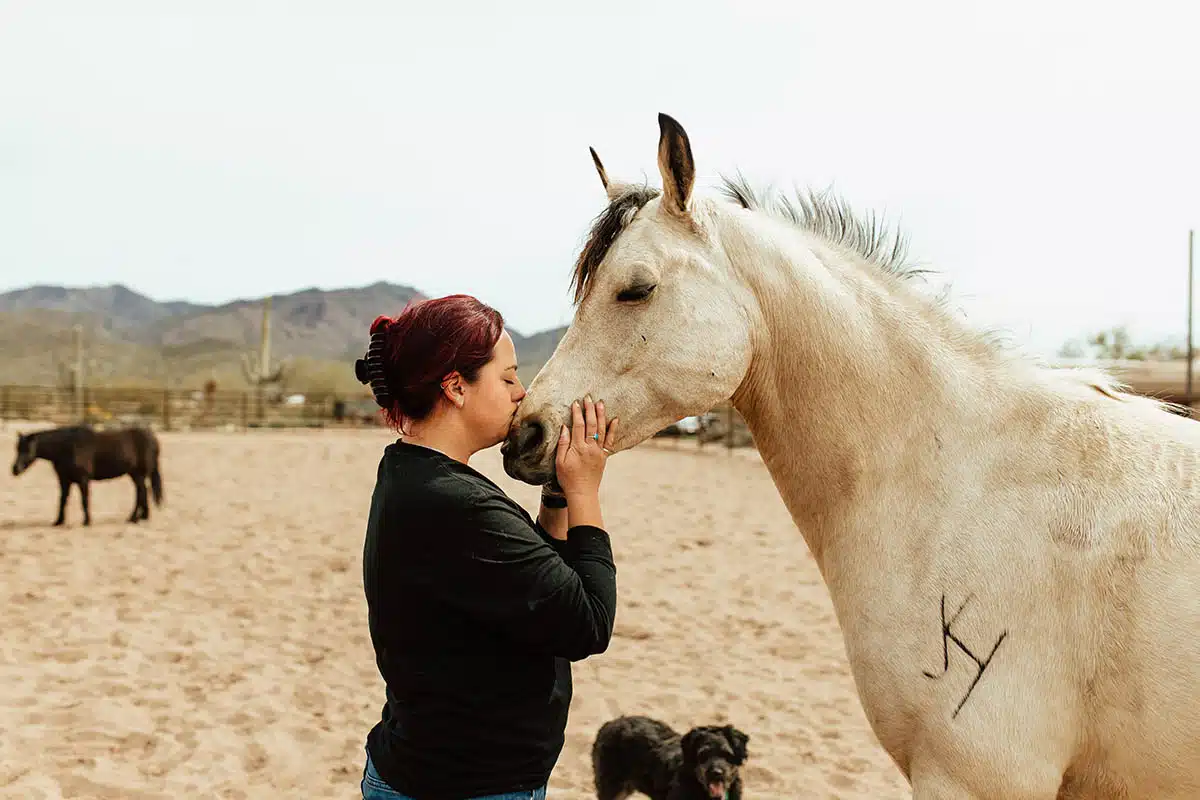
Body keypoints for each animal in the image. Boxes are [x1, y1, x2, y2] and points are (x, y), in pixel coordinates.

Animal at [12, 425, 164, 527]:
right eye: (17, 448)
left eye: (27, 449)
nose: (15, 469)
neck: (68, 447)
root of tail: (152, 437)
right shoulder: (64, 480)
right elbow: (63, 500)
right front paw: (58, 521)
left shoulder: (83, 480)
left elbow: (84, 500)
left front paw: (87, 521)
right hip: (135, 475)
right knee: (143, 493)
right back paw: (141, 517)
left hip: (138, 475)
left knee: (141, 493)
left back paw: (134, 518)